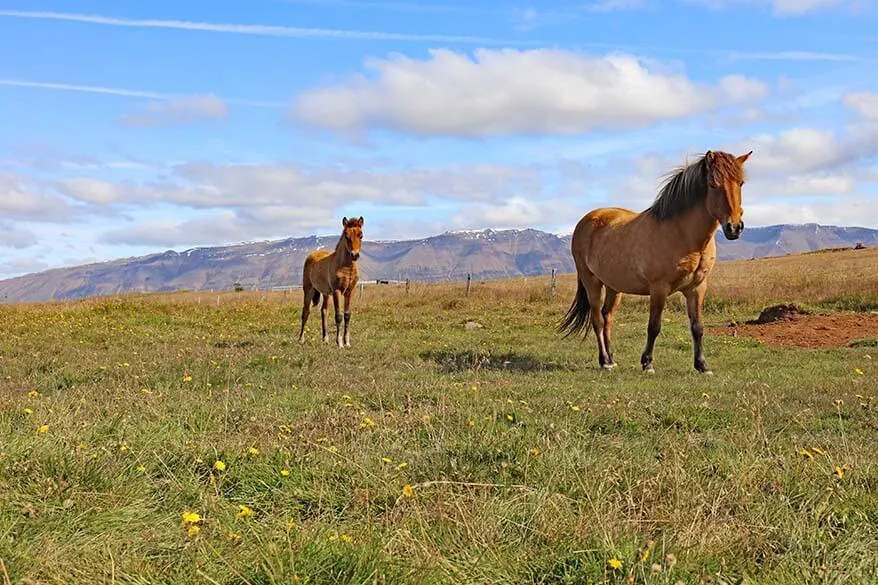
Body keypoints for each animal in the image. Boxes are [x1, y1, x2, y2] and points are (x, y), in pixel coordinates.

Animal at [298, 217, 362, 350]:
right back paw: (301, 339)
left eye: (361, 235)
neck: (346, 267)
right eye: (346, 235)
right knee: (305, 311)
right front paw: (340, 343)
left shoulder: (349, 292)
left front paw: (347, 342)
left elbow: (347, 315)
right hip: (308, 290)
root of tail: (312, 255)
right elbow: (338, 316)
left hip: (326, 293)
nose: (355, 255)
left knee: (324, 311)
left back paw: (325, 339)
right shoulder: (337, 291)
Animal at [560, 148, 752, 372]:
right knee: (597, 319)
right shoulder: (659, 289)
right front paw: (647, 363)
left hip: (613, 287)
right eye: (713, 185)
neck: (682, 234)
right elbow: (654, 326)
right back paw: (604, 361)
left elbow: (697, 327)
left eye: (741, 183)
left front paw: (702, 365)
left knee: (607, 317)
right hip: (592, 282)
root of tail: (586, 221)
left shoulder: (697, 288)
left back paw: (611, 358)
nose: (734, 228)